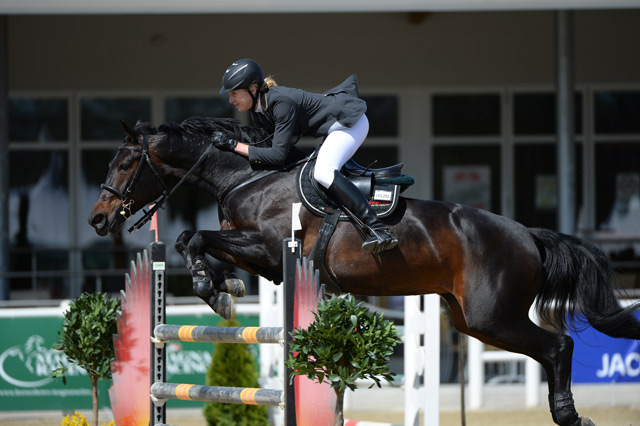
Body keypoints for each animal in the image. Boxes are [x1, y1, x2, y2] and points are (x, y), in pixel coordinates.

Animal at [89, 116, 640, 426]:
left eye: (125, 164)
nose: (98, 219)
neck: (246, 176)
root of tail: (528, 235)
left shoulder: (269, 247)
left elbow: (196, 238)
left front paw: (212, 286)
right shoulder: (260, 257)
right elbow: (195, 241)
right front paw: (223, 288)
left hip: (493, 317)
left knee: (558, 346)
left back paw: (569, 415)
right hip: (471, 320)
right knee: (548, 348)